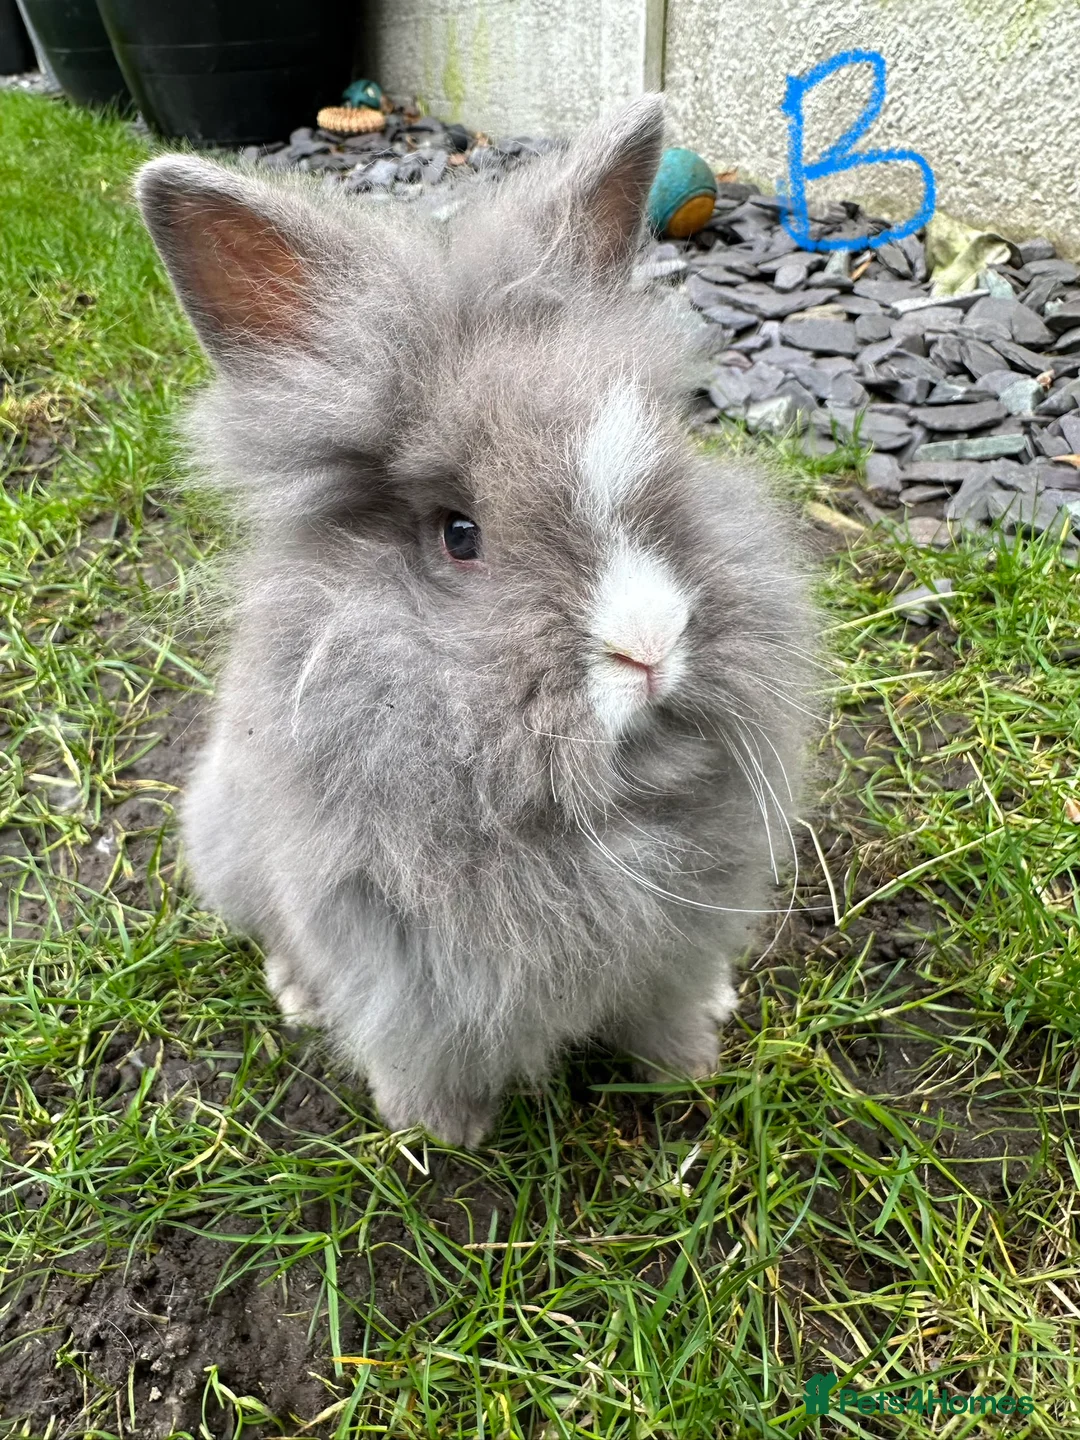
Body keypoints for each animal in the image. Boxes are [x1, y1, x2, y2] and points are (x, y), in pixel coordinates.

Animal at [136, 93, 817, 1148]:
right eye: (460, 535)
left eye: (669, 467)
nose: (650, 645)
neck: (588, 813)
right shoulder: (396, 964)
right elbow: (421, 1046)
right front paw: (439, 1132)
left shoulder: (676, 938)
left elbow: (662, 1005)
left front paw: (686, 1067)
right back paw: (299, 996)